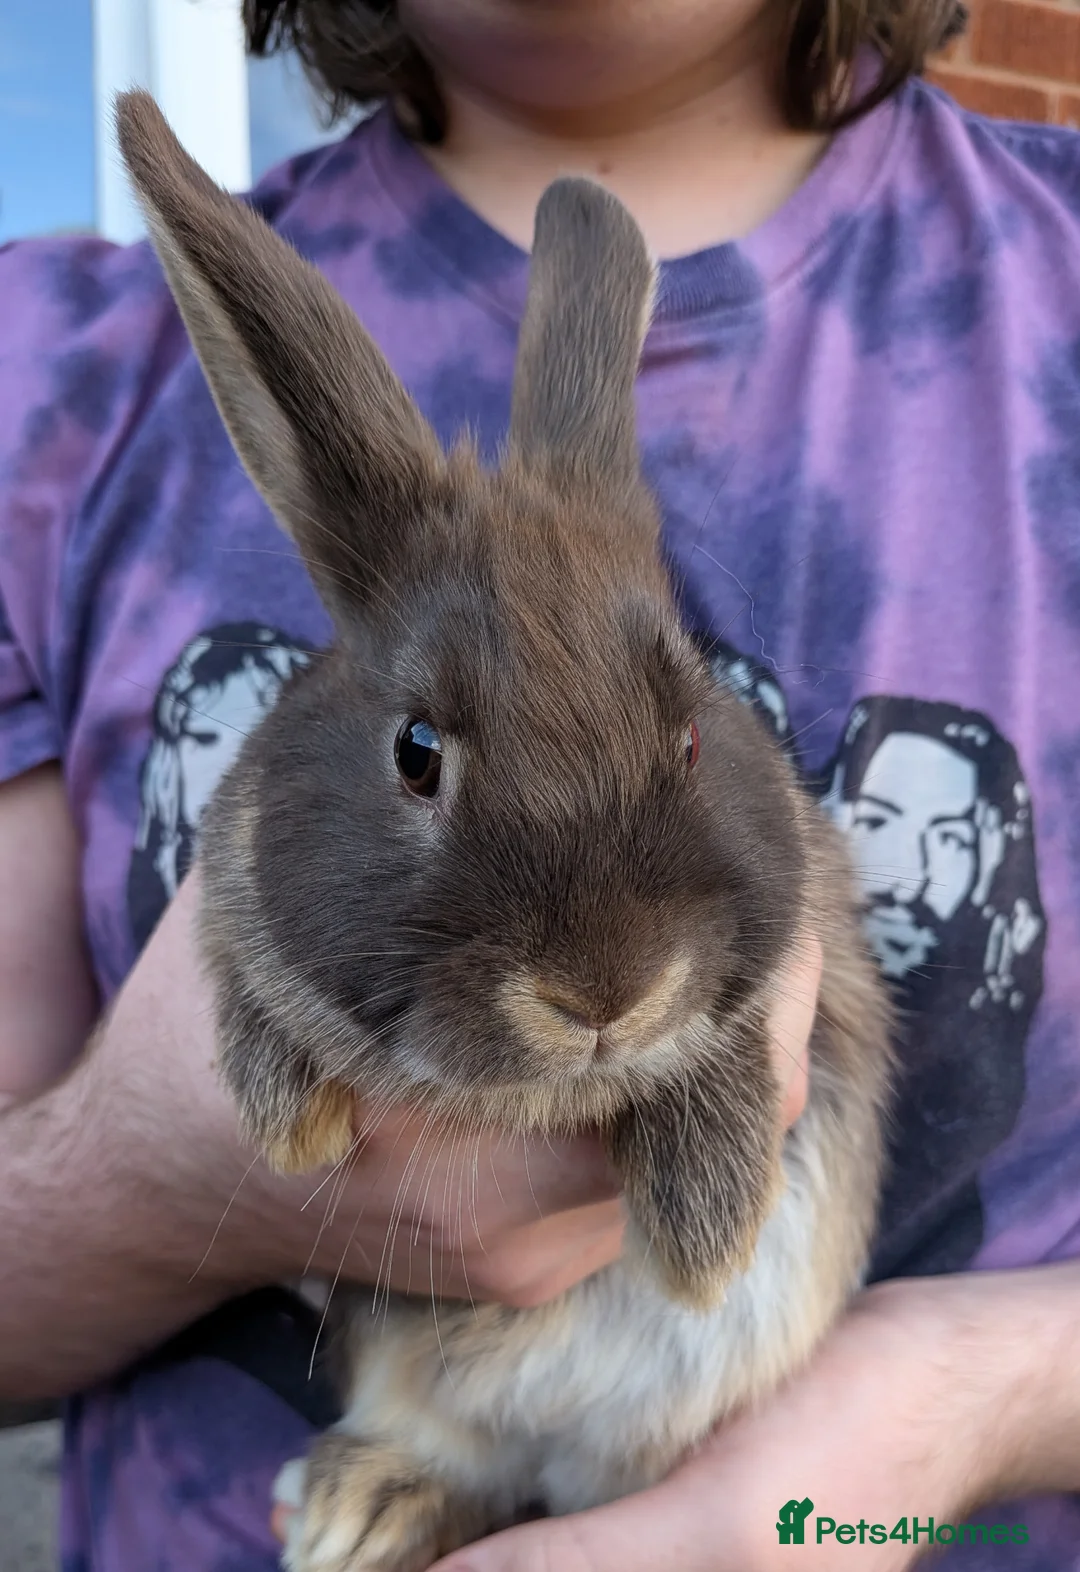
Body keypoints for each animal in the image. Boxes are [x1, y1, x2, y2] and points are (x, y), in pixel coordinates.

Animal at [116, 89, 893, 1572]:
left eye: (690, 737)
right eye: (417, 752)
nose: (600, 993)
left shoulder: (799, 967)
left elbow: (739, 1051)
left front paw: (704, 1230)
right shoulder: (237, 893)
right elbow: (243, 981)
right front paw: (287, 1124)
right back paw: (357, 1508)